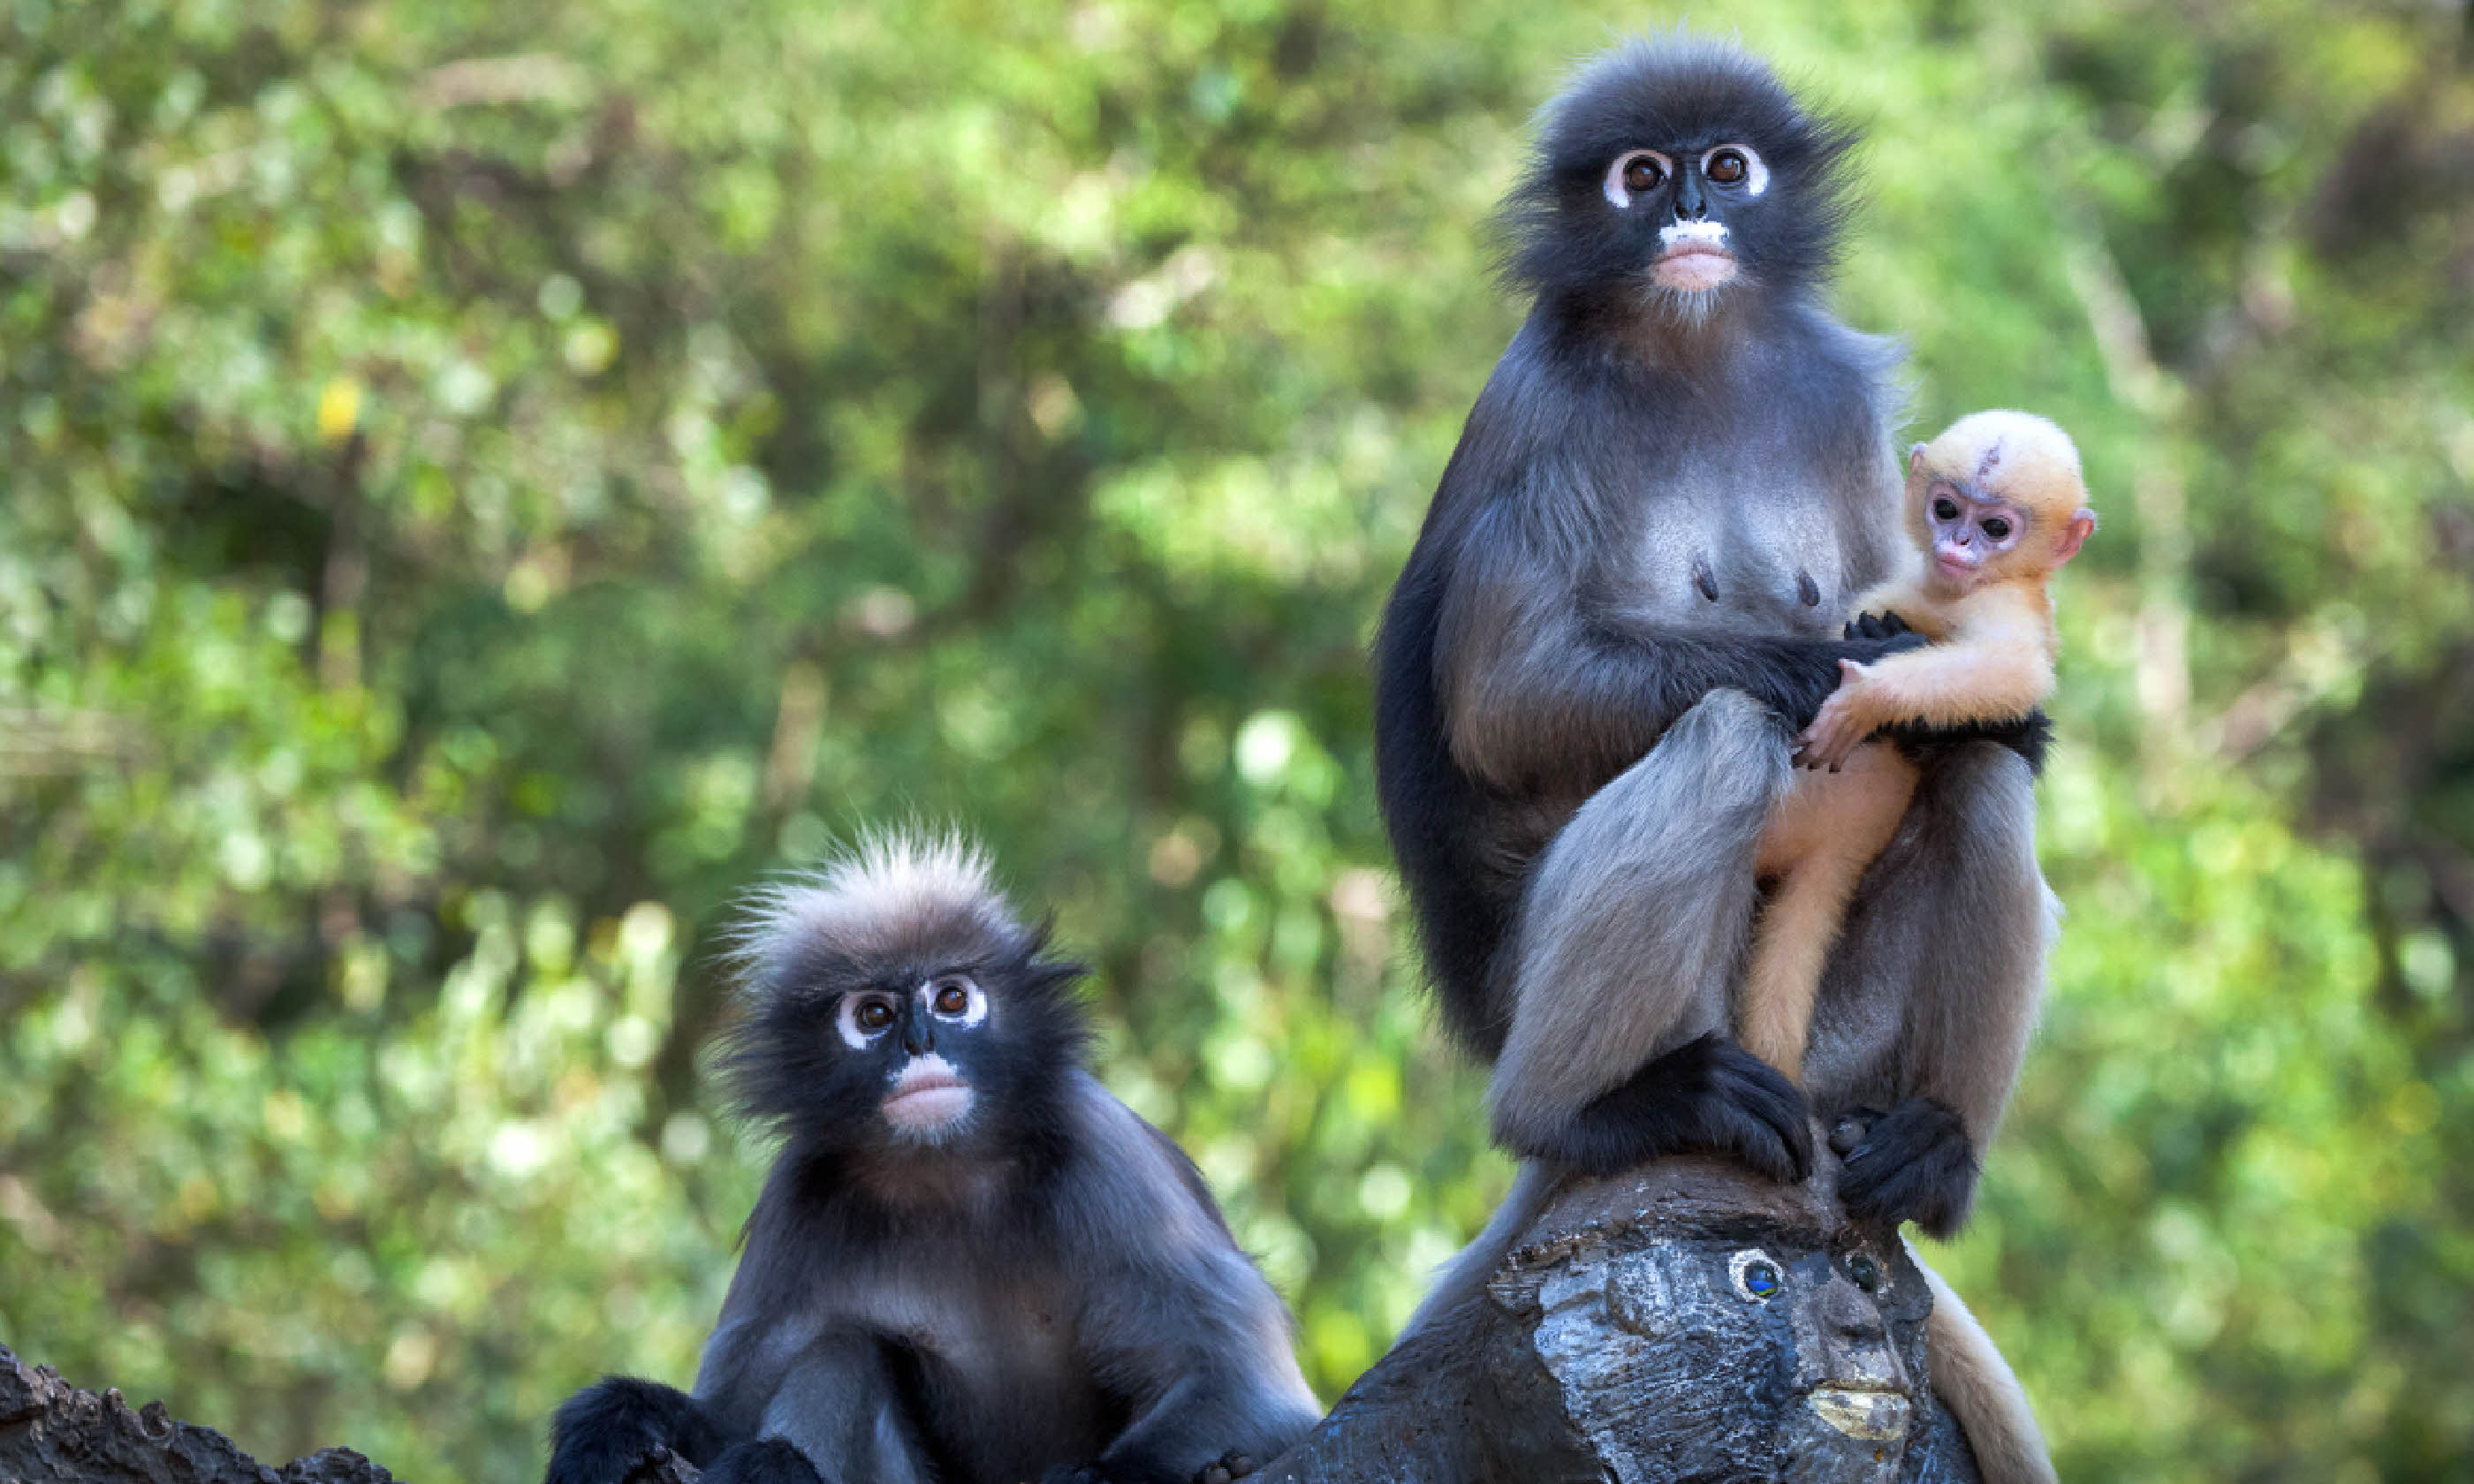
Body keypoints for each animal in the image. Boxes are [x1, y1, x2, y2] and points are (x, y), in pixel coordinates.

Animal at [542, 836, 1316, 1484]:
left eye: (950, 998)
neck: (948, 1174)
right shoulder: (797, 1200)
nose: (919, 1043)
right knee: (843, 1352)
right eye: (874, 1016)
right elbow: (727, 1416)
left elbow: (1253, 1392)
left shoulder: (1111, 1161)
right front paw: (614, 1419)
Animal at [1375, 34, 2048, 1484]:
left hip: (1836, 1053)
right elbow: (1503, 701)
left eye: (1725, 166)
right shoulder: (1540, 401)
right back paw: (1592, 1110)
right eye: (1642, 175)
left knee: (1980, 775)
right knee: (1724, 736)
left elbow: (1954, 687)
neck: (1698, 349)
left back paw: (1933, 1152)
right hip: (1592, 998)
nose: (1688, 209)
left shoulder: (1836, 397)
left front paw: (1951, 690)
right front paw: (1804, 668)